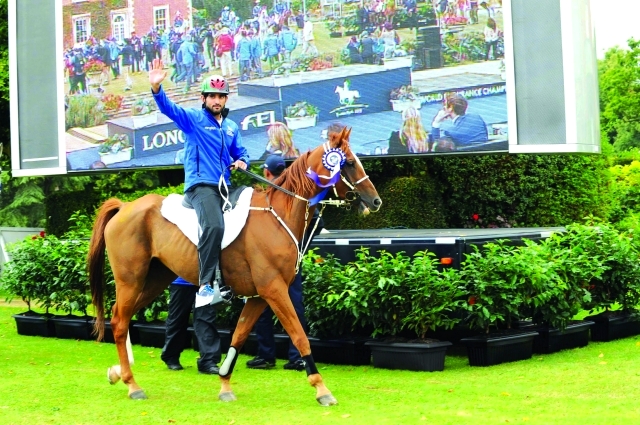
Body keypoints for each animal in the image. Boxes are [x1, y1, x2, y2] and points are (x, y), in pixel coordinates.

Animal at [88, 128, 382, 404]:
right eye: (349, 163)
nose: (375, 201)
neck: (278, 217)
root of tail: (125, 206)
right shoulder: (274, 290)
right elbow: (299, 335)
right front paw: (322, 389)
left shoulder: (259, 296)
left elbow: (238, 338)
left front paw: (225, 385)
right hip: (131, 280)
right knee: (120, 320)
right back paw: (132, 384)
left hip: (154, 280)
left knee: (120, 317)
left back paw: (118, 373)